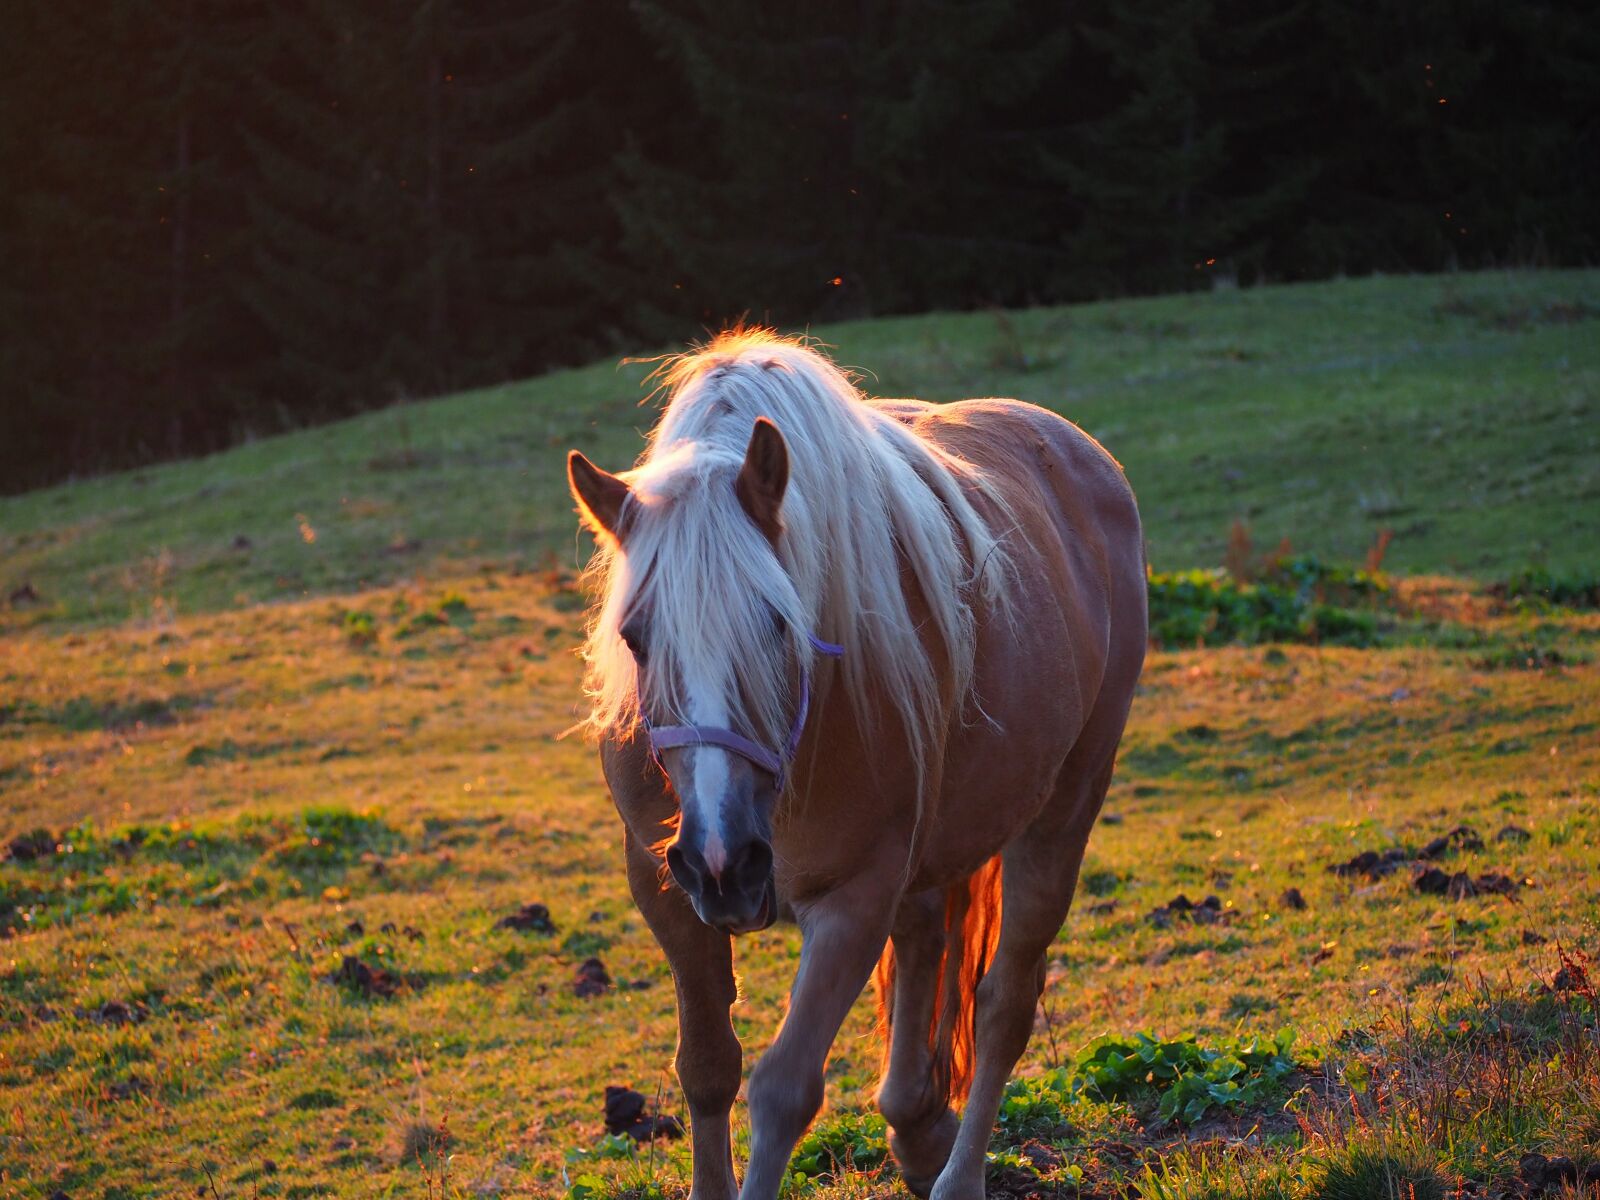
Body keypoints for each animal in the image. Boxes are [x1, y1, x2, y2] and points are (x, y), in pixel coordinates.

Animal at [569, 329, 1145, 1200]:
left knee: (1004, 1004)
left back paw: (957, 1173)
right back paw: (916, 1124)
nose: (724, 861)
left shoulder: (852, 900)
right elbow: (707, 1068)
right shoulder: (667, 890)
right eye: (635, 637)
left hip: (1065, 808)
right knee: (926, 939)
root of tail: (1085, 455)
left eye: (777, 623)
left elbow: (782, 1088)